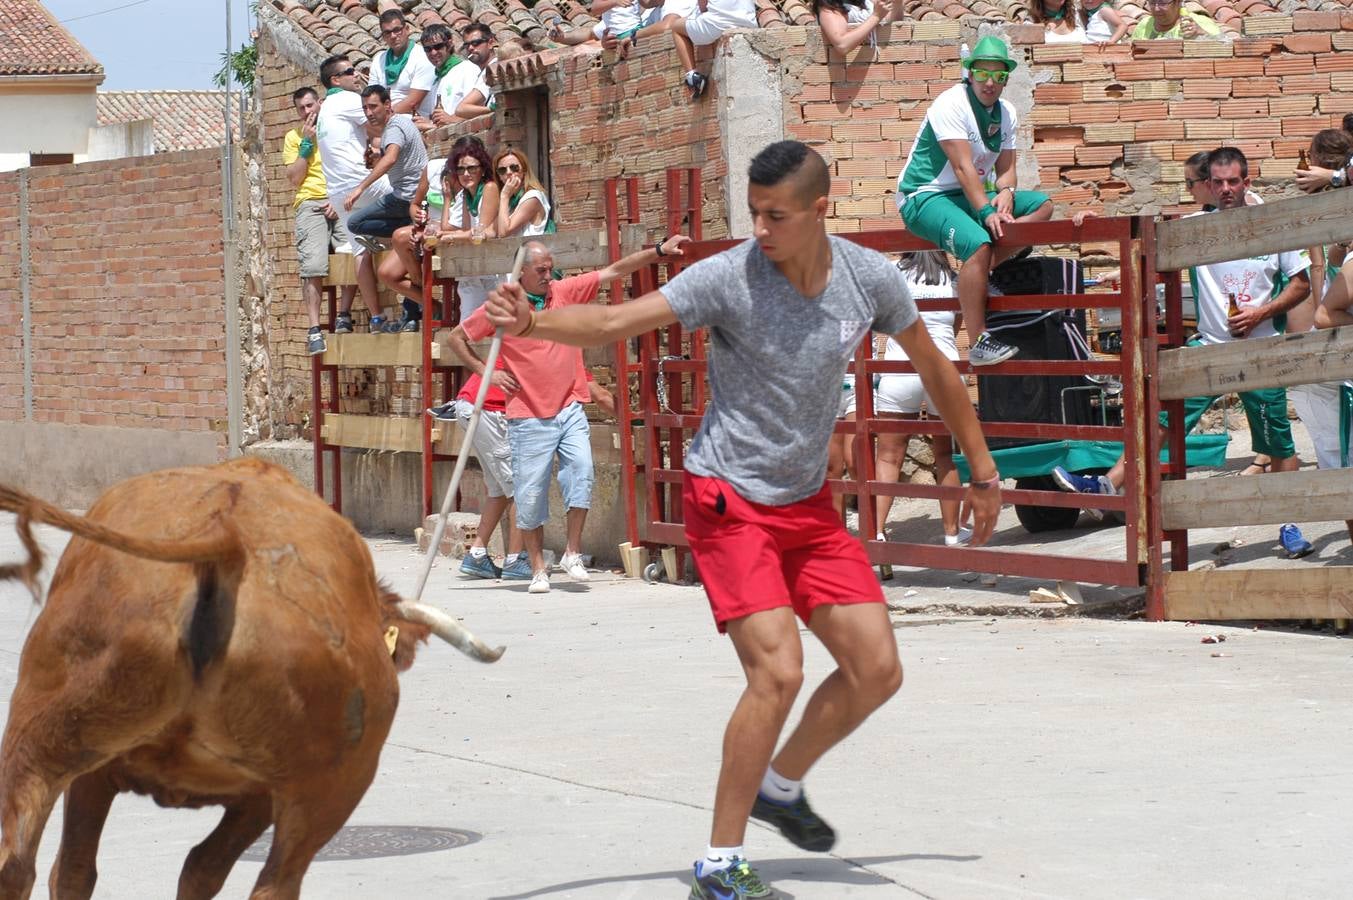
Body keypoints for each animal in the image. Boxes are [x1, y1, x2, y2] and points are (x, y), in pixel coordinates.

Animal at [0, 460, 503, 898]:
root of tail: (227, 542)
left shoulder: (103, 774)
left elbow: (115, 869)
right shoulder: (259, 795)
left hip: (41, 741)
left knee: (19, 865)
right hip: (332, 789)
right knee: (276, 885)